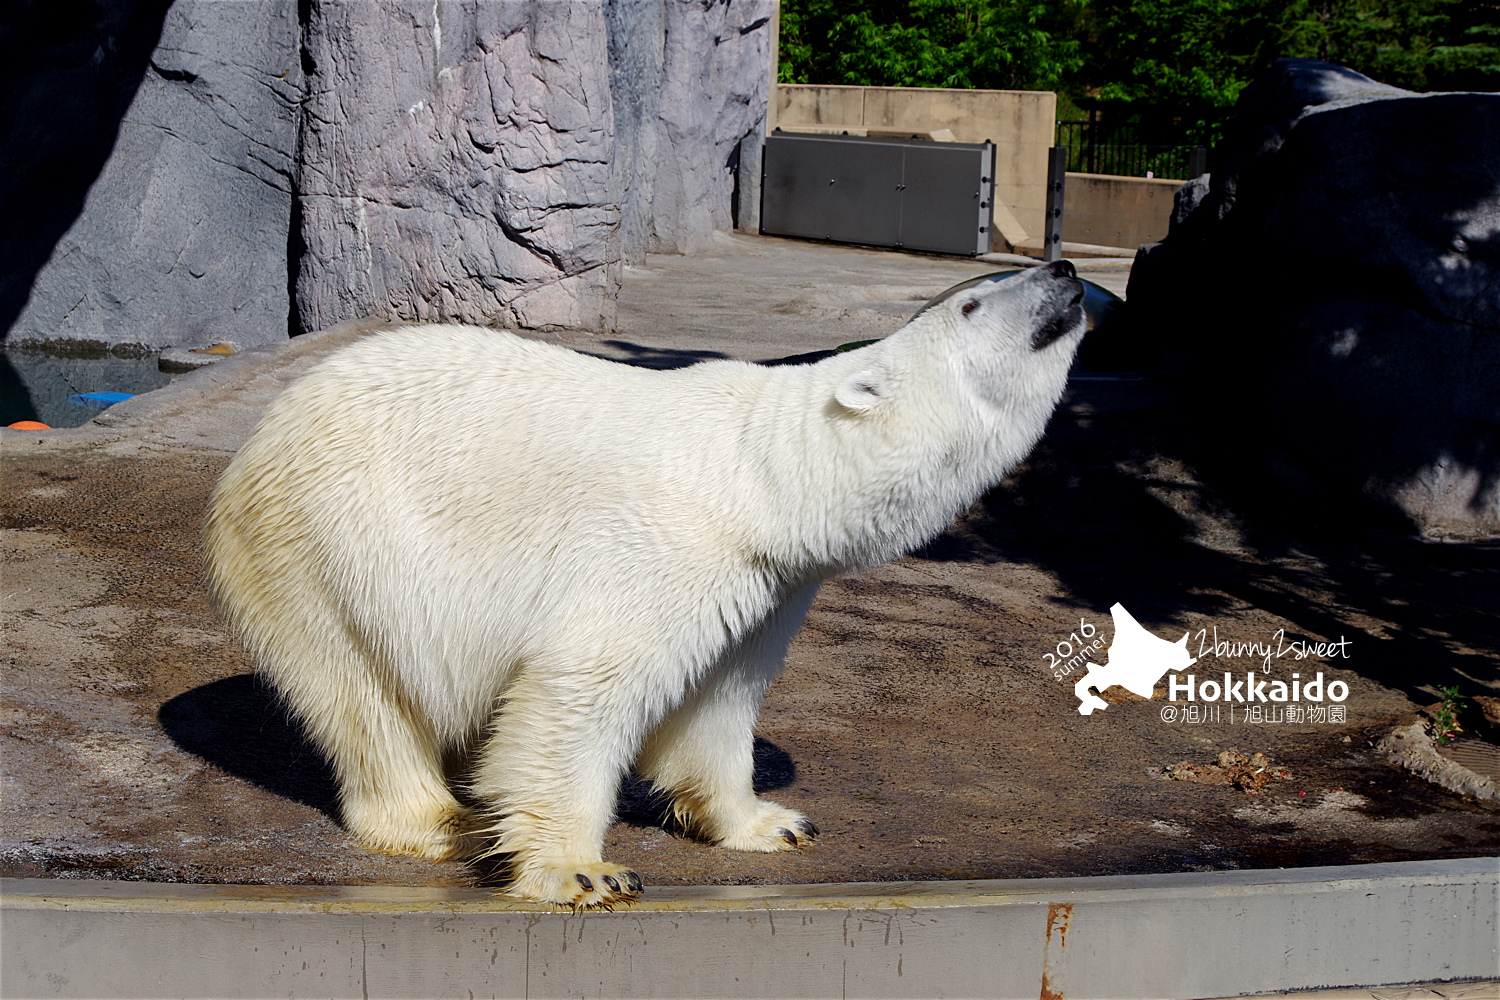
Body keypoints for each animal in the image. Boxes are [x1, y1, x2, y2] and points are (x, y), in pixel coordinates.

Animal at [202, 257, 1092, 905]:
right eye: (973, 302)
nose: (1064, 268)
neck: (766, 477)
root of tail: (256, 445)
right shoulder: (666, 547)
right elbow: (578, 691)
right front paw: (581, 869)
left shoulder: (765, 588)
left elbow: (717, 703)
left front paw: (772, 822)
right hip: (328, 547)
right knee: (364, 695)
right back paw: (441, 821)